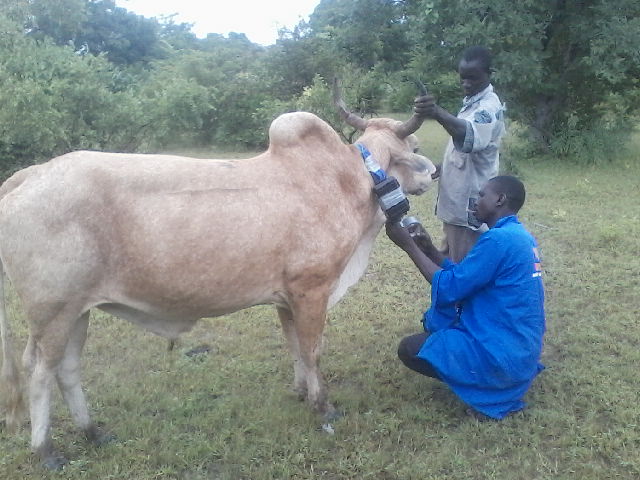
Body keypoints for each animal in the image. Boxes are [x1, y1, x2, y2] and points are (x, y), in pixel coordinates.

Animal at [0, 89, 436, 469]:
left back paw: (93, 432)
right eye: (414, 147)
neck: (348, 179)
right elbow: (312, 350)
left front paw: (300, 392)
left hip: (78, 311)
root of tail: (30, 175)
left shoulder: (287, 297)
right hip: (53, 313)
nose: (432, 174)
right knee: (39, 372)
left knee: (67, 368)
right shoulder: (312, 289)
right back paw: (46, 451)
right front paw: (324, 407)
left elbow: (295, 347)